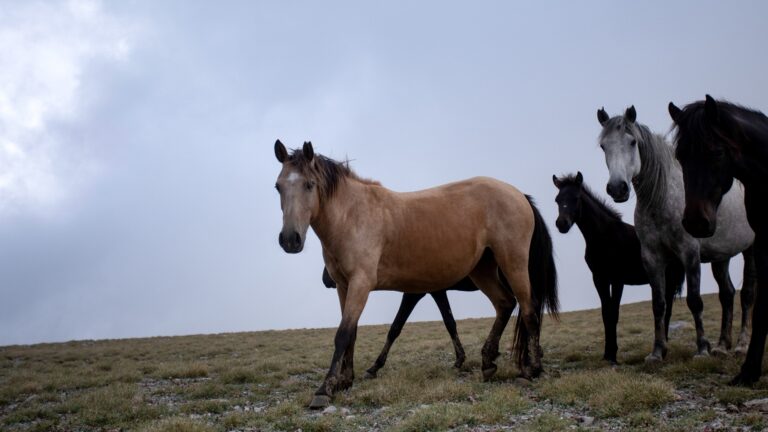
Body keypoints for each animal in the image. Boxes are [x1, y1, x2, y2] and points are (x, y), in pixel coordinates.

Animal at [320, 264, 476, 380]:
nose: (326, 279)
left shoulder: (415, 293)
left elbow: (395, 327)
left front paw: (374, 367)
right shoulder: (437, 290)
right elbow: (450, 323)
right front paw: (460, 359)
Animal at [552, 172, 684, 364]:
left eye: (576, 198)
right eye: (557, 199)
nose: (561, 224)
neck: (604, 236)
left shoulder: (617, 279)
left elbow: (614, 313)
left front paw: (613, 355)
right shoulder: (599, 278)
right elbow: (606, 313)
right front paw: (607, 354)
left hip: (671, 279)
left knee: (666, 310)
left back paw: (662, 350)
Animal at [668, 95, 764, 384]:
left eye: (717, 152)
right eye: (680, 156)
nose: (695, 222)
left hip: (749, 250)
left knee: (746, 292)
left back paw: (739, 344)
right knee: (728, 292)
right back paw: (723, 345)